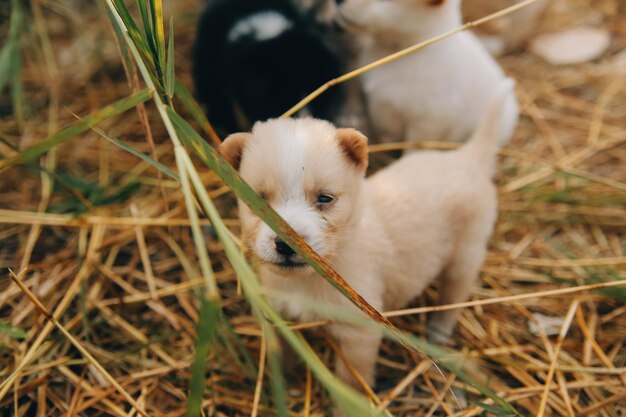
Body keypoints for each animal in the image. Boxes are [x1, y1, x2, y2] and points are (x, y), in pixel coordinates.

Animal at [219, 79, 516, 392]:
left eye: (324, 198)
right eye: (257, 198)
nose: (285, 243)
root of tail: (468, 156)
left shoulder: (358, 334)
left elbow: (352, 380)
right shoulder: (279, 315)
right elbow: (282, 354)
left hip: (465, 255)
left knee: (455, 293)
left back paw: (439, 329)